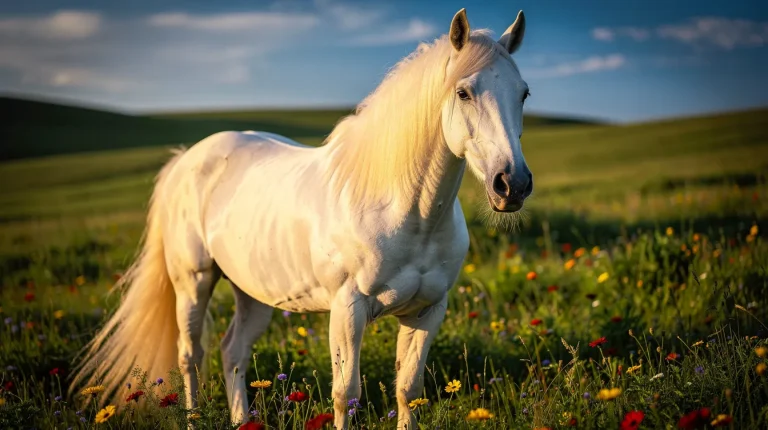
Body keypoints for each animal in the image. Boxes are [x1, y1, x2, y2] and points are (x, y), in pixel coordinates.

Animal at [72, 8, 532, 430]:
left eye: (524, 93)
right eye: (464, 92)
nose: (512, 184)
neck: (408, 214)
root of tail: (186, 158)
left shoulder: (427, 312)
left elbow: (408, 390)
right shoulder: (348, 310)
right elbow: (346, 394)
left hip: (252, 292)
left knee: (232, 352)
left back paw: (242, 420)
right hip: (193, 282)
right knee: (191, 356)